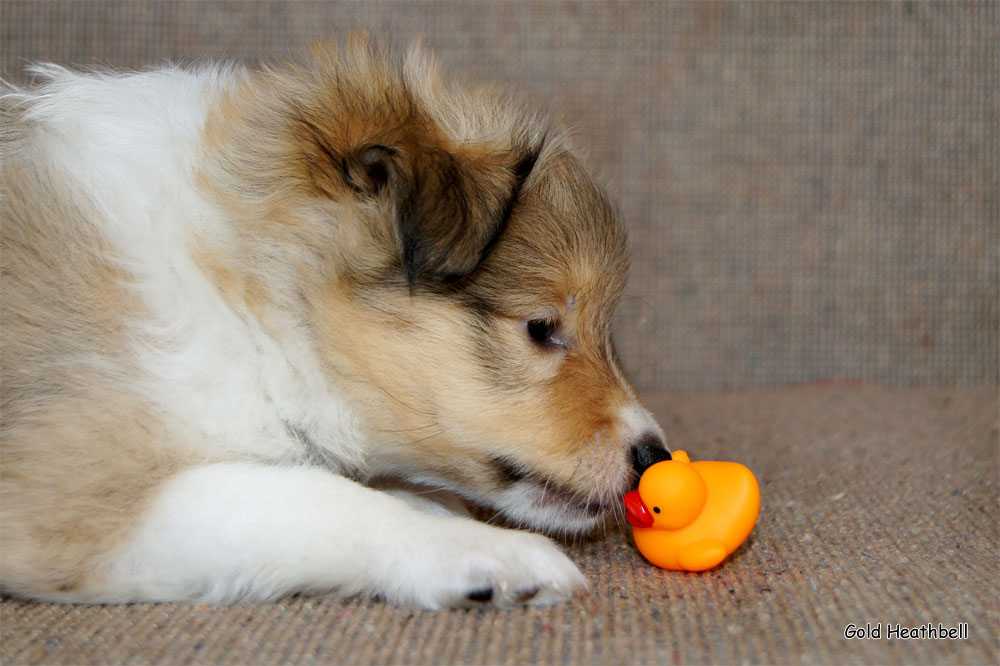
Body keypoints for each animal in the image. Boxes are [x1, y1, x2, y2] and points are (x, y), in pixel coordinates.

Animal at [3, 37, 672, 608]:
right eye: (540, 327)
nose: (654, 458)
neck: (238, 296)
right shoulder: (68, 495)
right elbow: (318, 497)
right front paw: (488, 552)